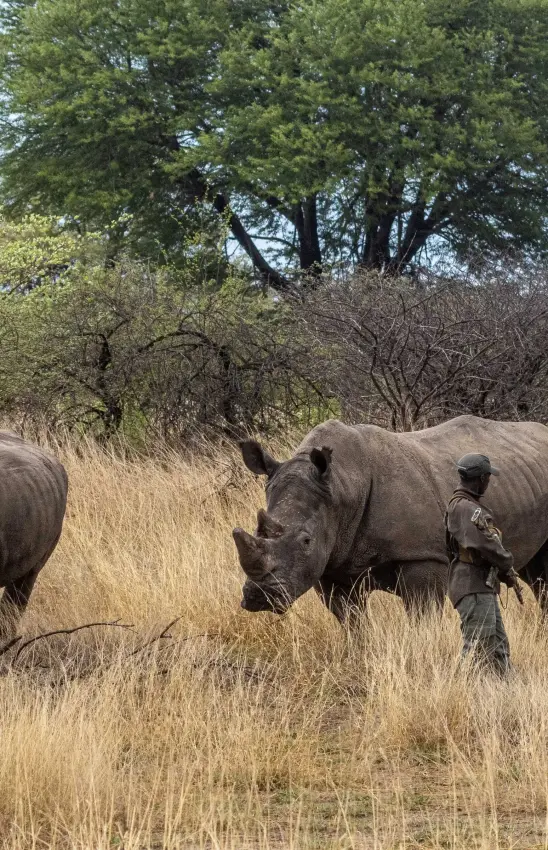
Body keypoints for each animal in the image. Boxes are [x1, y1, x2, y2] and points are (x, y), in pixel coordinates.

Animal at [233, 415, 548, 622]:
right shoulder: (331, 562)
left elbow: (422, 617)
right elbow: (352, 621)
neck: (342, 485)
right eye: (257, 532)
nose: (260, 597)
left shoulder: (422, 556)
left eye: (306, 540)